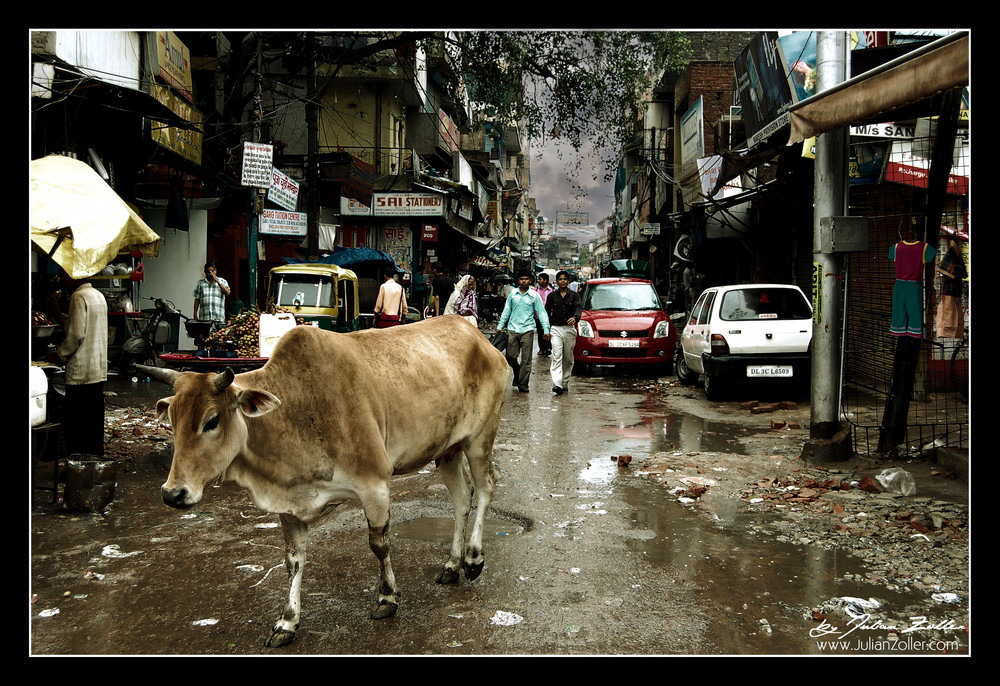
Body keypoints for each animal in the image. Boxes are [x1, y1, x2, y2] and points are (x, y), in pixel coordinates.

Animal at [137, 318, 512, 652]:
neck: (294, 410)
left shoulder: (375, 484)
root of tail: (480, 337)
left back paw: (473, 559)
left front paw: (387, 597)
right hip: (448, 449)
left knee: (485, 488)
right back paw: (451, 565)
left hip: (480, 439)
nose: (173, 493)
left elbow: (379, 544)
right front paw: (287, 622)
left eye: (212, 421)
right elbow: (293, 560)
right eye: (171, 421)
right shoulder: (288, 505)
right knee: (462, 499)